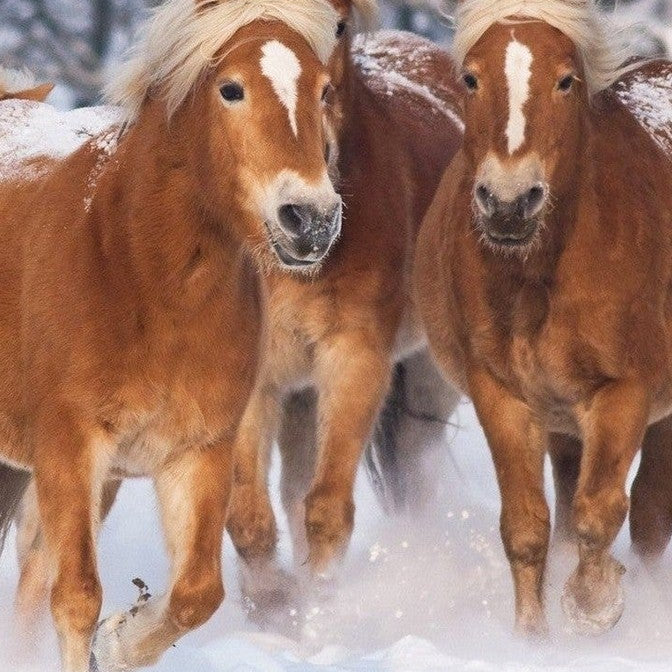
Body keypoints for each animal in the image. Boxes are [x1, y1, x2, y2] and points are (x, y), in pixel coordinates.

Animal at [0, 0, 343, 668]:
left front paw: (119, 637)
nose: (311, 219)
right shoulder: (71, 448)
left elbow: (196, 594)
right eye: (231, 89)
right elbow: (76, 596)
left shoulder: (195, 453)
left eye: (322, 91)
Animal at [415, 0, 672, 637]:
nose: (509, 203)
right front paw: (531, 640)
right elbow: (528, 528)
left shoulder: (626, 391)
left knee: (650, 514)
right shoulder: (502, 394)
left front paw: (594, 604)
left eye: (565, 80)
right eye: (471, 78)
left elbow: (600, 513)